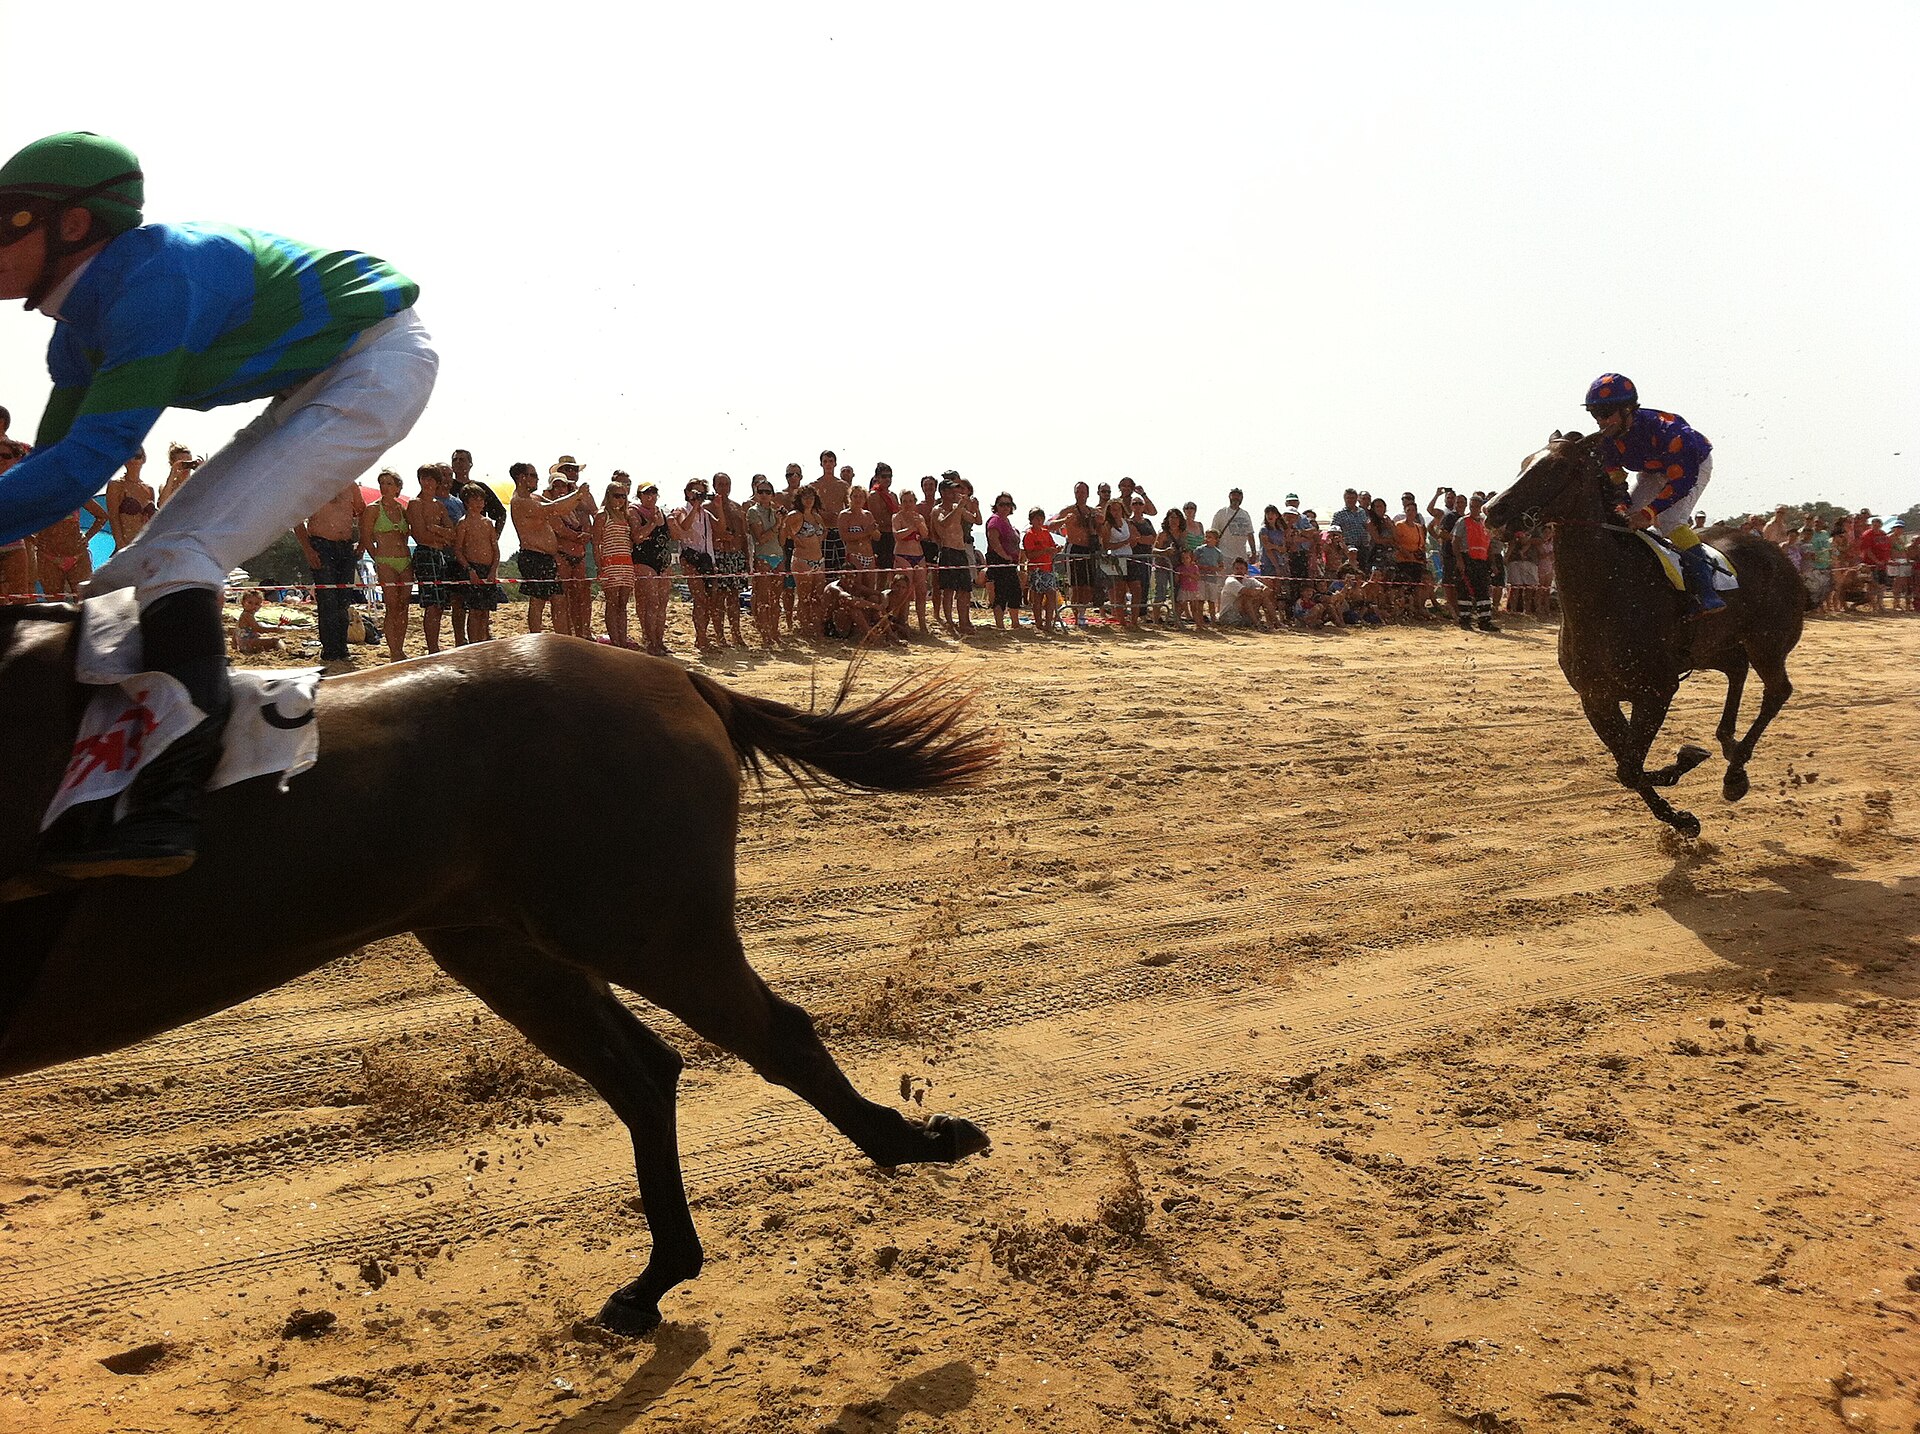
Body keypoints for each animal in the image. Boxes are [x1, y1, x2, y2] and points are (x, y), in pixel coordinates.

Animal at [0, 607, 1000, 1334]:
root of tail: (673, 673)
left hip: (641, 925)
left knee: (770, 1036)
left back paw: (915, 1143)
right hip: (505, 944)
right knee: (644, 1070)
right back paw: (653, 1281)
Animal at [1486, 432, 1805, 838]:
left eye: (1557, 466)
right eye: (1525, 461)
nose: (1493, 510)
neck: (1608, 594)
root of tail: (1779, 554)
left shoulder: (1656, 690)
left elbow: (1630, 767)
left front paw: (1685, 769)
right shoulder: (1597, 697)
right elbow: (1629, 766)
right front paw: (1682, 811)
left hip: (1768, 643)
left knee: (1777, 690)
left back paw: (1735, 773)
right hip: (1711, 647)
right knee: (1736, 667)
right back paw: (1728, 745)